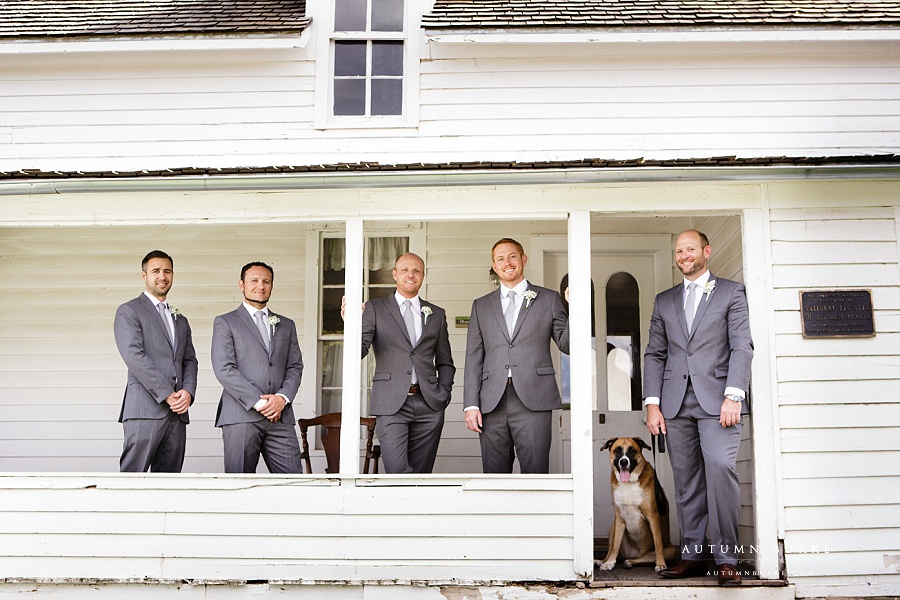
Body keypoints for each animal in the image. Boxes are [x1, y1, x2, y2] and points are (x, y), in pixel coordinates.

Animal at [596, 436, 676, 572]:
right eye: (617, 450)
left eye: (632, 450)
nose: (623, 462)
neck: (628, 483)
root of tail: (634, 555)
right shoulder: (619, 518)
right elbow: (615, 546)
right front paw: (610, 563)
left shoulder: (653, 516)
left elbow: (658, 544)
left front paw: (661, 563)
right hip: (612, 528)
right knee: (612, 549)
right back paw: (603, 561)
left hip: (671, 550)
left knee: (648, 558)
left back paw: (631, 562)